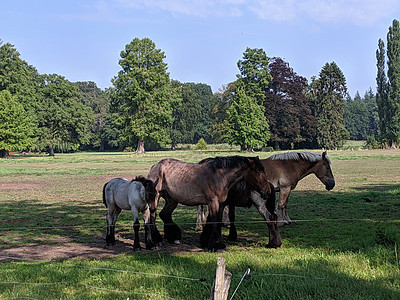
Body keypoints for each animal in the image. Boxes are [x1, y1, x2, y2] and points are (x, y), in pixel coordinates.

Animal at [148, 155, 278, 251]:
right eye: (257, 172)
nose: (267, 191)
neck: (219, 175)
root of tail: (155, 166)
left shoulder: (220, 203)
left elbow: (215, 221)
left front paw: (210, 242)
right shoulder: (213, 202)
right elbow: (215, 222)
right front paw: (216, 246)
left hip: (172, 200)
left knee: (164, 214)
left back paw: (173, 237)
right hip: (156, 196)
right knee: (153, 216)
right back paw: (156, 241)